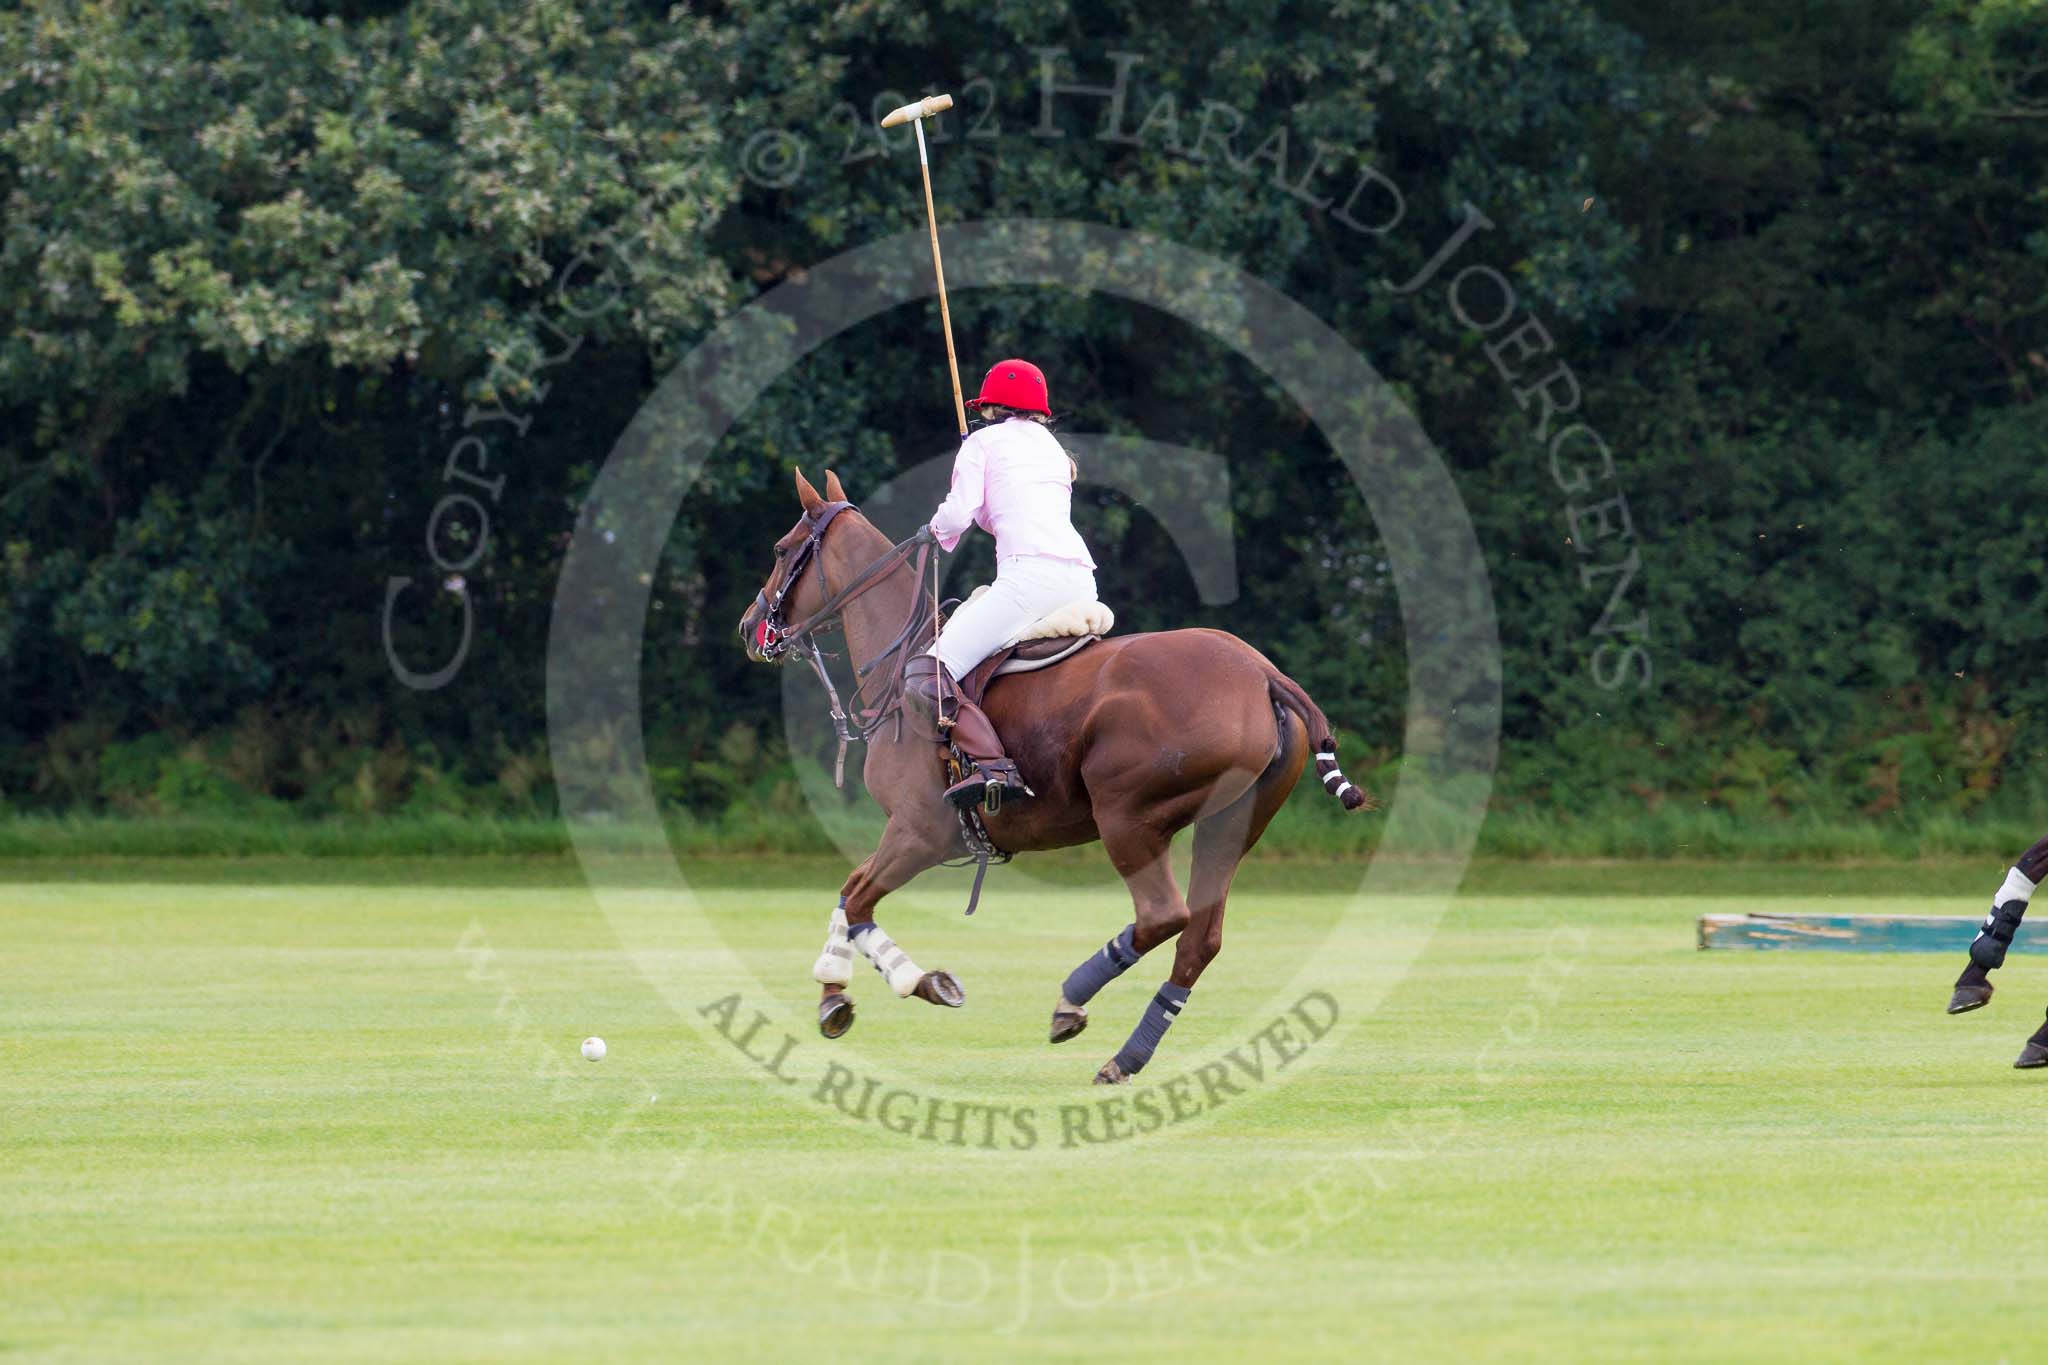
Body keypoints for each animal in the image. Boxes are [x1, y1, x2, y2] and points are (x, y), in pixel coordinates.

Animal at [733, 472, 1359, 1088]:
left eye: (781, 549)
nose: (750, 627)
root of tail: (1265, 674)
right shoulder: (925, 835)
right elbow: (849, 891)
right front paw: (832, 996)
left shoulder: (920, 831)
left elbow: (859, 897)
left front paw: (923, 983)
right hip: (1231, 823)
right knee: (1199, 938)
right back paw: (1125, 1057)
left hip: (1127, 814)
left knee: (1163, 915)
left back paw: (1071, 1001)